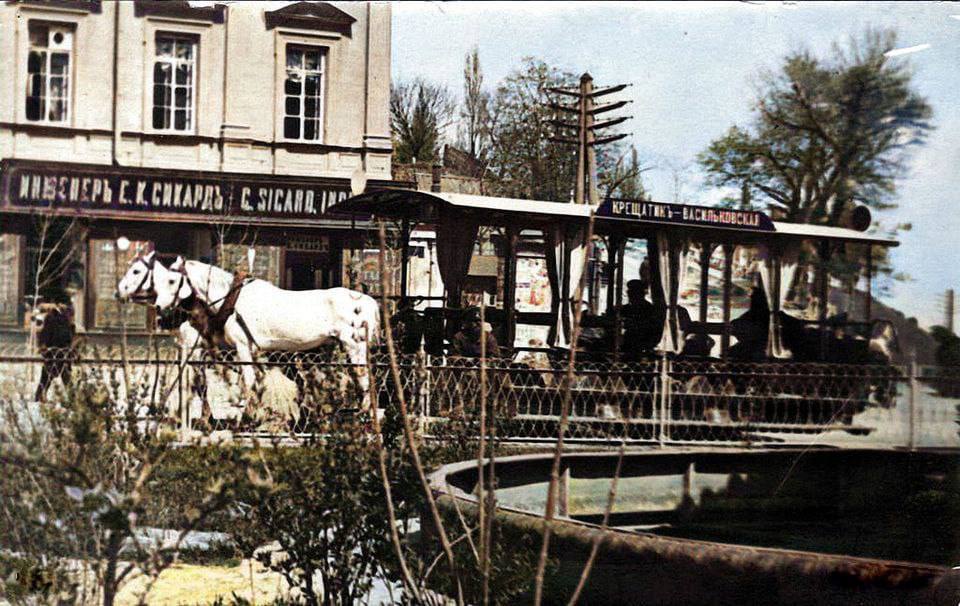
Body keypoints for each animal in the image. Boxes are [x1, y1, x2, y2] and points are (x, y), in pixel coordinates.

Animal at [154, 258, 378, 410]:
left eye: (172, 280)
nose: (158, 307)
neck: (231, 300)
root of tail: (369, 302)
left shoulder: (243, 347)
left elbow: (249, 381)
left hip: (355, 346)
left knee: (364, 378)